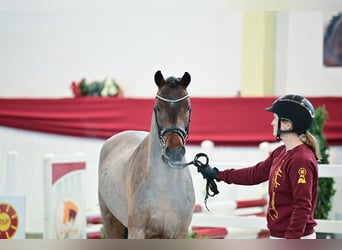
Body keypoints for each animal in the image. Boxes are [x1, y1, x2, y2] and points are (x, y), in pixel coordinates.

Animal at [98, 70, 195, 238]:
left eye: (187, 108)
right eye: (158, 108)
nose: (174, 151)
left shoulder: (180, 233)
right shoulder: (137, 231)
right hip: (110, 220)